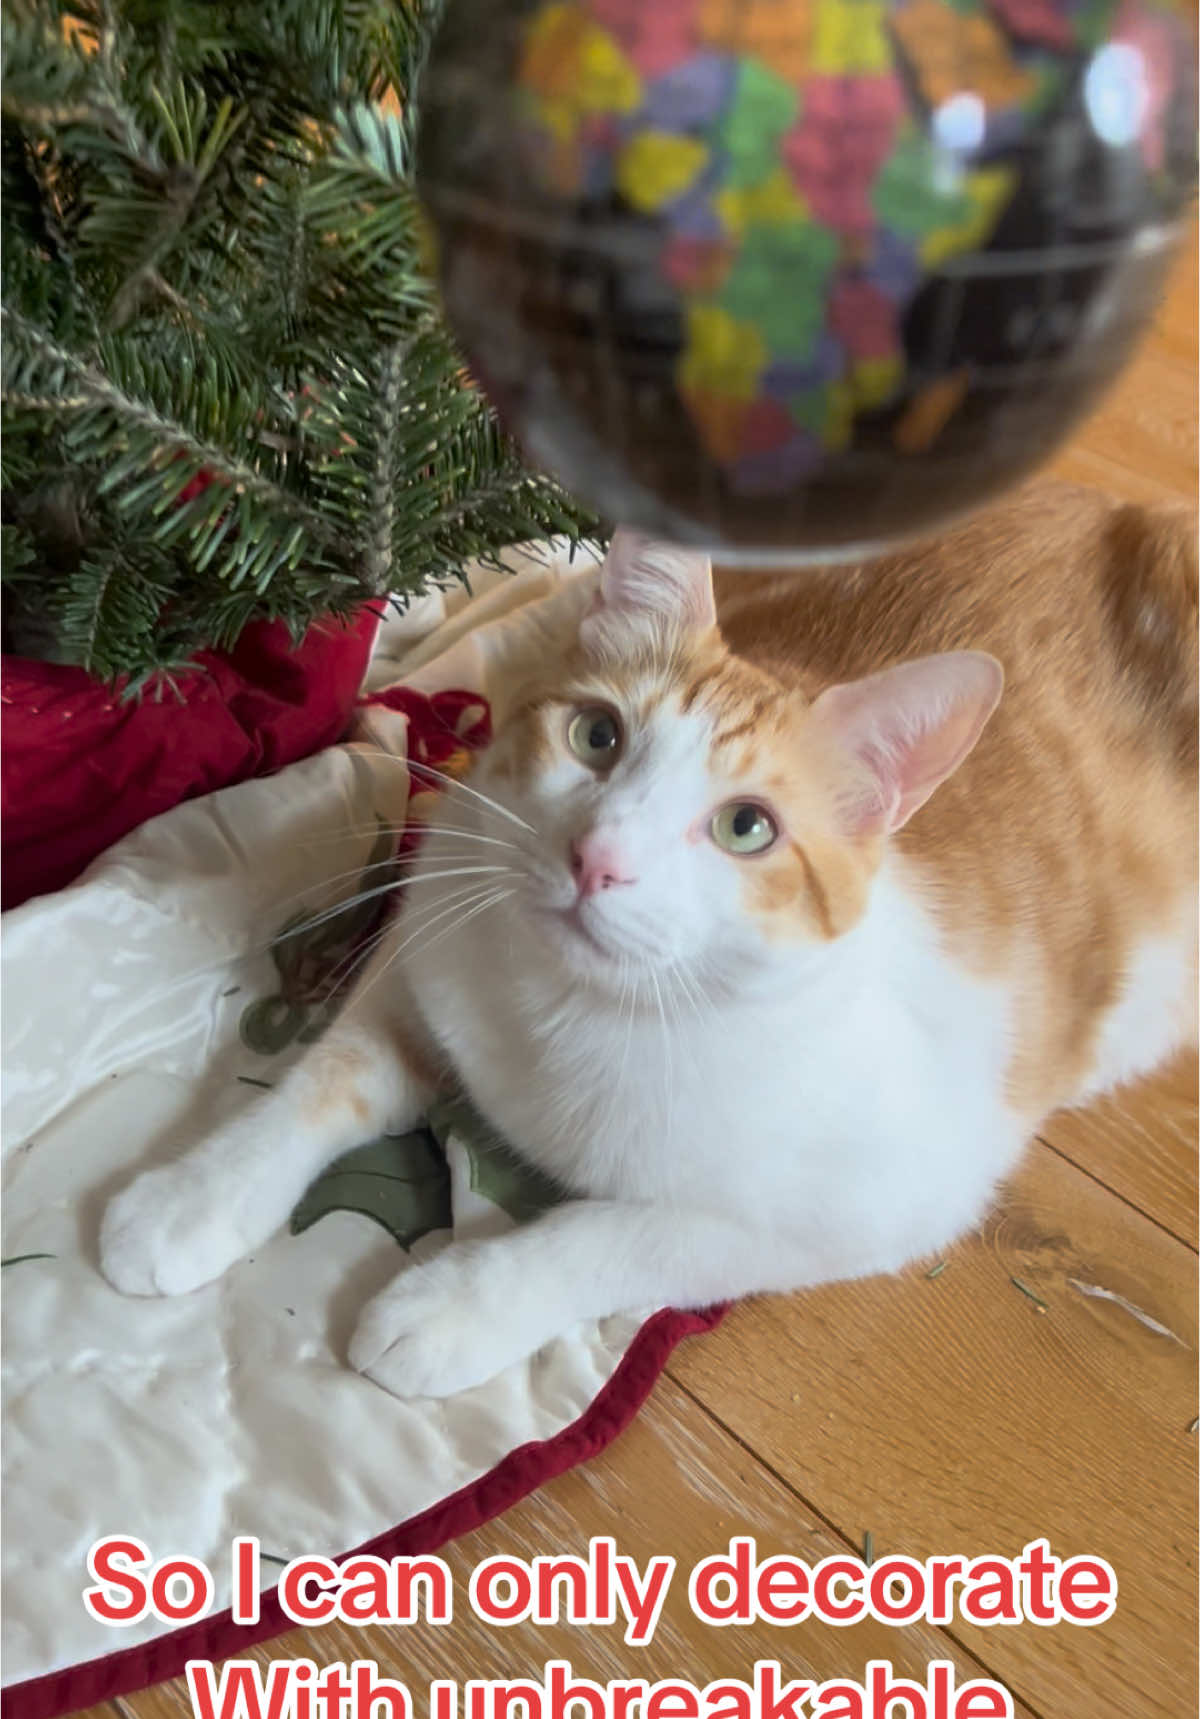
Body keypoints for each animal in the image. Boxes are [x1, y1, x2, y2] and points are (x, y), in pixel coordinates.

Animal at [97, 484, 1189, 1395]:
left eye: (747, 828)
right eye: (597, 736)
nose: (598, 859)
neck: (578, 1007)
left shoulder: (878, 1204)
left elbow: (618, 1234)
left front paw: (454, 1307)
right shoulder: (425, 955)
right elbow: (324, 1080)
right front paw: (196, 1193)